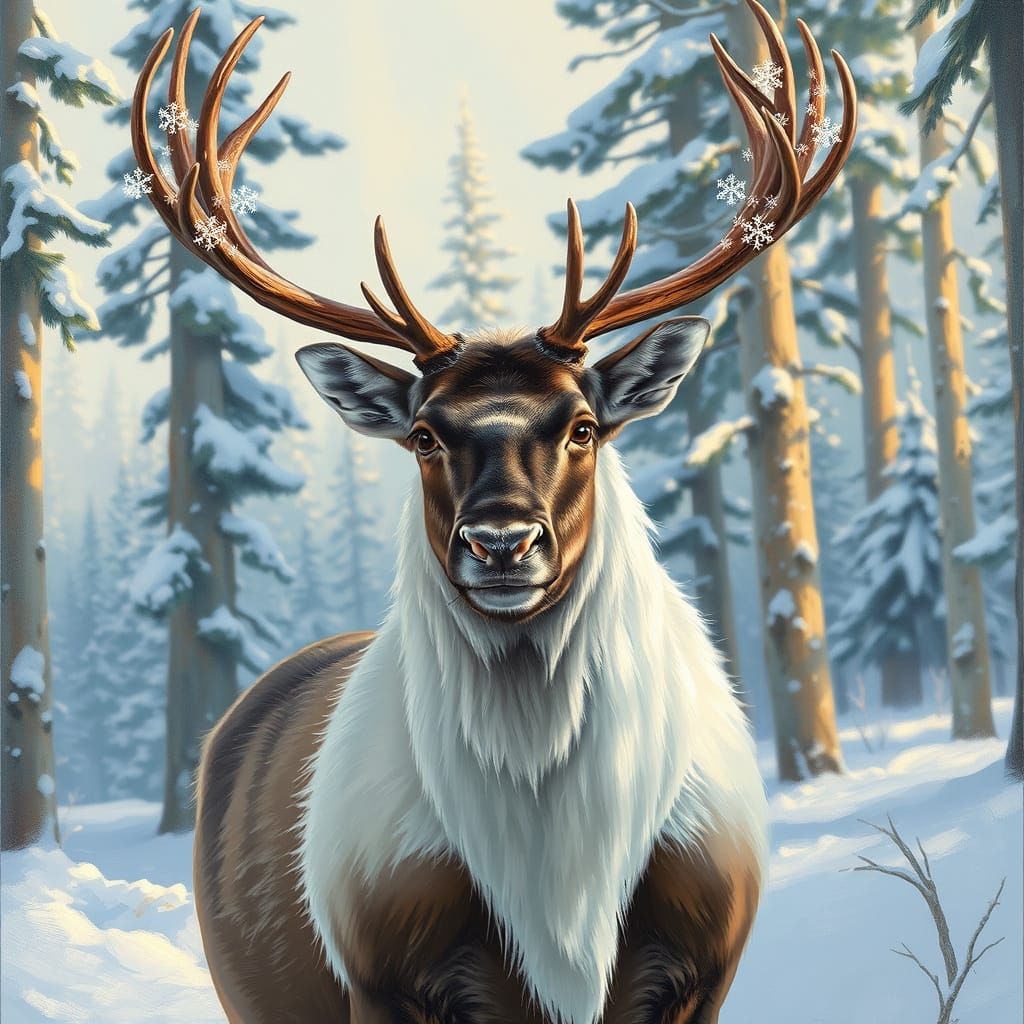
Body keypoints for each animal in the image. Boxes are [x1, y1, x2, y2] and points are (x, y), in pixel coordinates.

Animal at [131, 3, 855, 1021]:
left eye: (585, 425)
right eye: (423, 435)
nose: (503, 542)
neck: (562, 909)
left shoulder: (708, 962)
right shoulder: (376, 970)